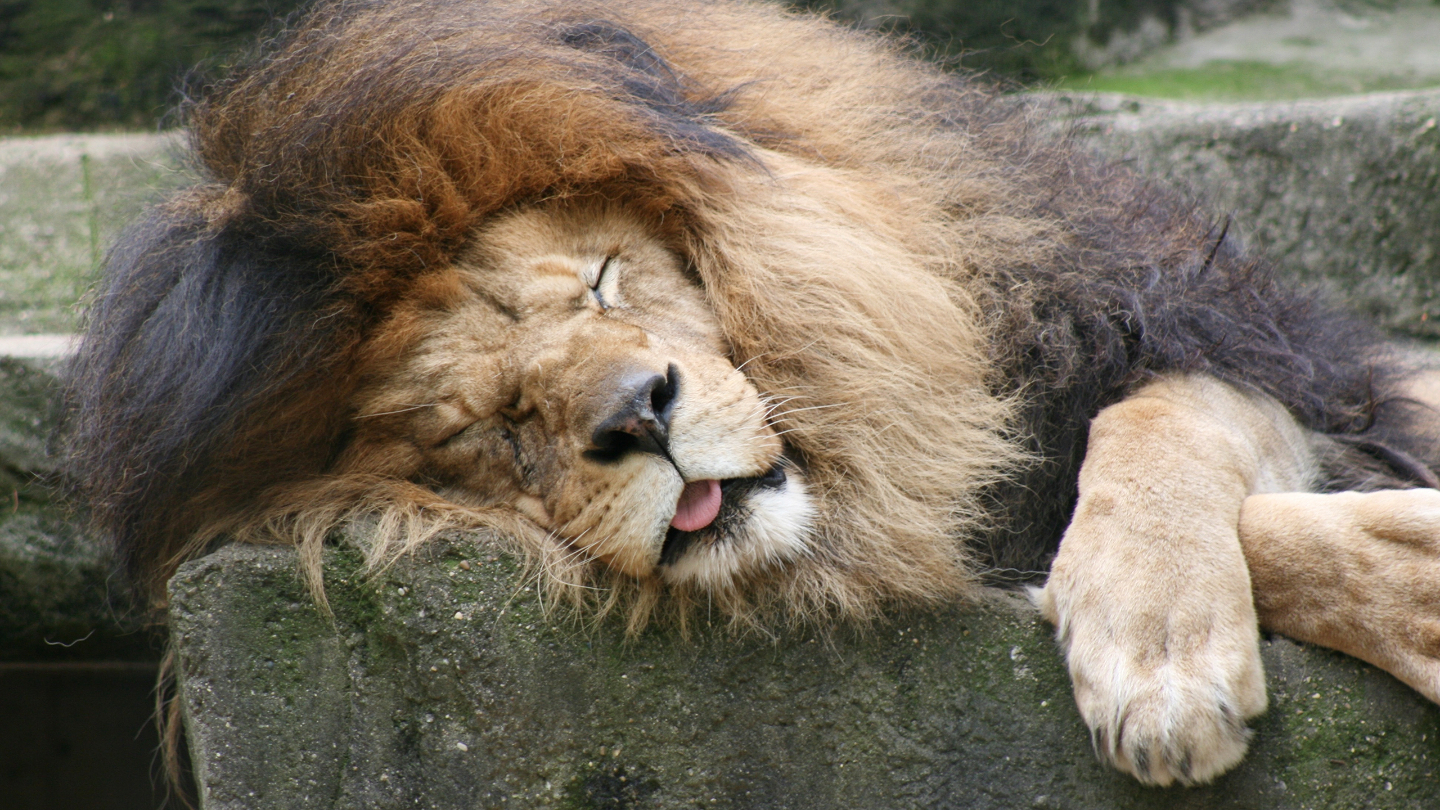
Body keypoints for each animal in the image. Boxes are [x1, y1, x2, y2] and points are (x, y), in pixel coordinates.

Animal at [62, 0, 1440, 789]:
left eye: (608, 279)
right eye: (482, 429)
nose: (639, 416)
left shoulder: (1295, 367)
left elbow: (1150, 423)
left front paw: (1159, 650)